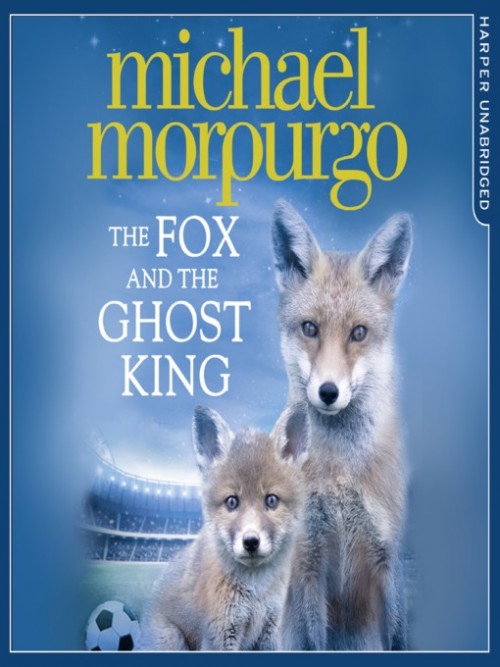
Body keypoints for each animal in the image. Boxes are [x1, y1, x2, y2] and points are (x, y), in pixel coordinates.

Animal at [141, 403, 311, 651]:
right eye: (232, 502)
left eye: (271, 500)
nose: (251, 542)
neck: (256, 591)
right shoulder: (220, 633)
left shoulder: (270, 630)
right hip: (172, 640)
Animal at [272, 200, 412, 651]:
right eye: (310, 328)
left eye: (359, 333)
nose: (328, 392)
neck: (342, 473)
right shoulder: (308, 560)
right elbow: (314, 641)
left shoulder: (388, 556)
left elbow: (399, 638)